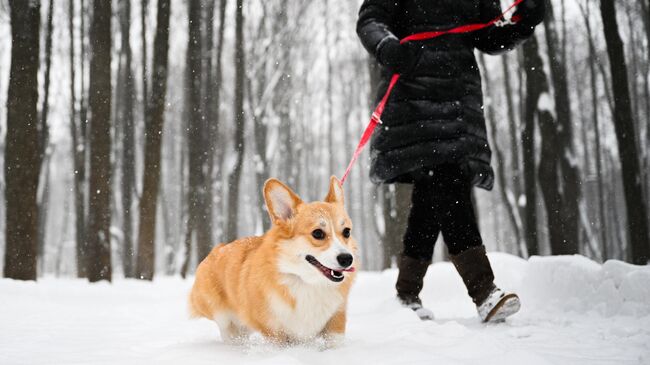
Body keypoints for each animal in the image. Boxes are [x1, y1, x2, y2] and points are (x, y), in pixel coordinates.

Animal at [187, 178, 360, 346]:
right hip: (223, 317)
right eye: (317, 233)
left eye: (347, 232)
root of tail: (217, 249)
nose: (347, 259)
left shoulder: (336, 320)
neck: (307, 283)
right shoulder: (274, 332)